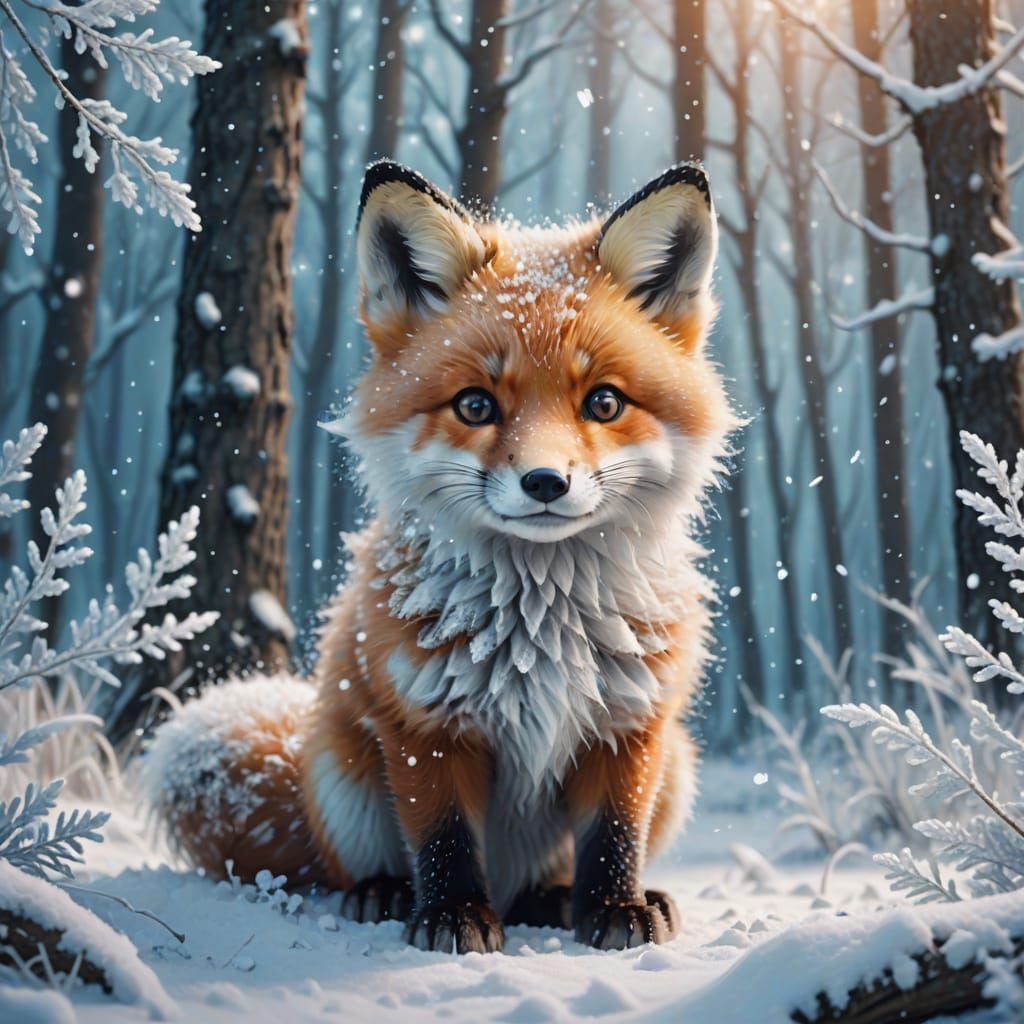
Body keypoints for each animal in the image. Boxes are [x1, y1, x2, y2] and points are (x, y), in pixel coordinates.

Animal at [143, 159, 737, 954]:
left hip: (677, 767)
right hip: (341, 772)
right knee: (354, 866)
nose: (545, 483)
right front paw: (453, 915)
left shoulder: (631, 724)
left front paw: (615, 908)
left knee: (553, 875)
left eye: (605, 404)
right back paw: (384, 893)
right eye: (476, 406)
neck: (541, 632)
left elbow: (613, 836)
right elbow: (444, 840)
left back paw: (556, 899)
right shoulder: (424, 724)